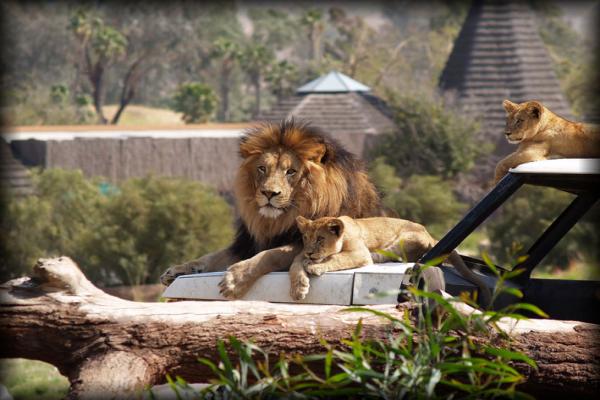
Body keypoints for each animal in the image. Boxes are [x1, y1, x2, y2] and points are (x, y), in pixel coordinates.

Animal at [161, 120, 384, 298]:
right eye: (262, 169)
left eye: (291, 171)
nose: (269, 193)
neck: (276, 221)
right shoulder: (246, 244)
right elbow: (211, 257)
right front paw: (178, 269)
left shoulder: (305, 243)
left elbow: (271, 254)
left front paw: (236, 278)